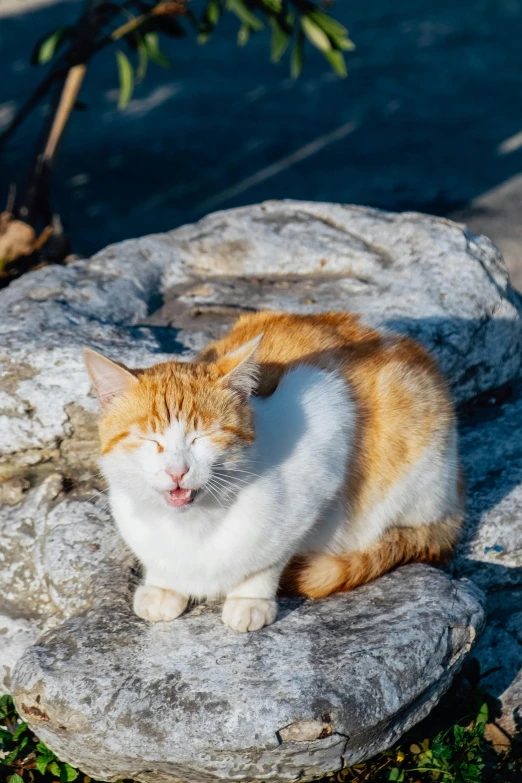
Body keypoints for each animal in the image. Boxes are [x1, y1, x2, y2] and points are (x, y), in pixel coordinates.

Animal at [83, 310, 462, 632]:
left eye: (203, 436)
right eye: (149, 439)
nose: (178, 471)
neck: (192, 526)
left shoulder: (328, 417)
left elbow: (268, 557)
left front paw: (250, 598)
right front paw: (163, 585)